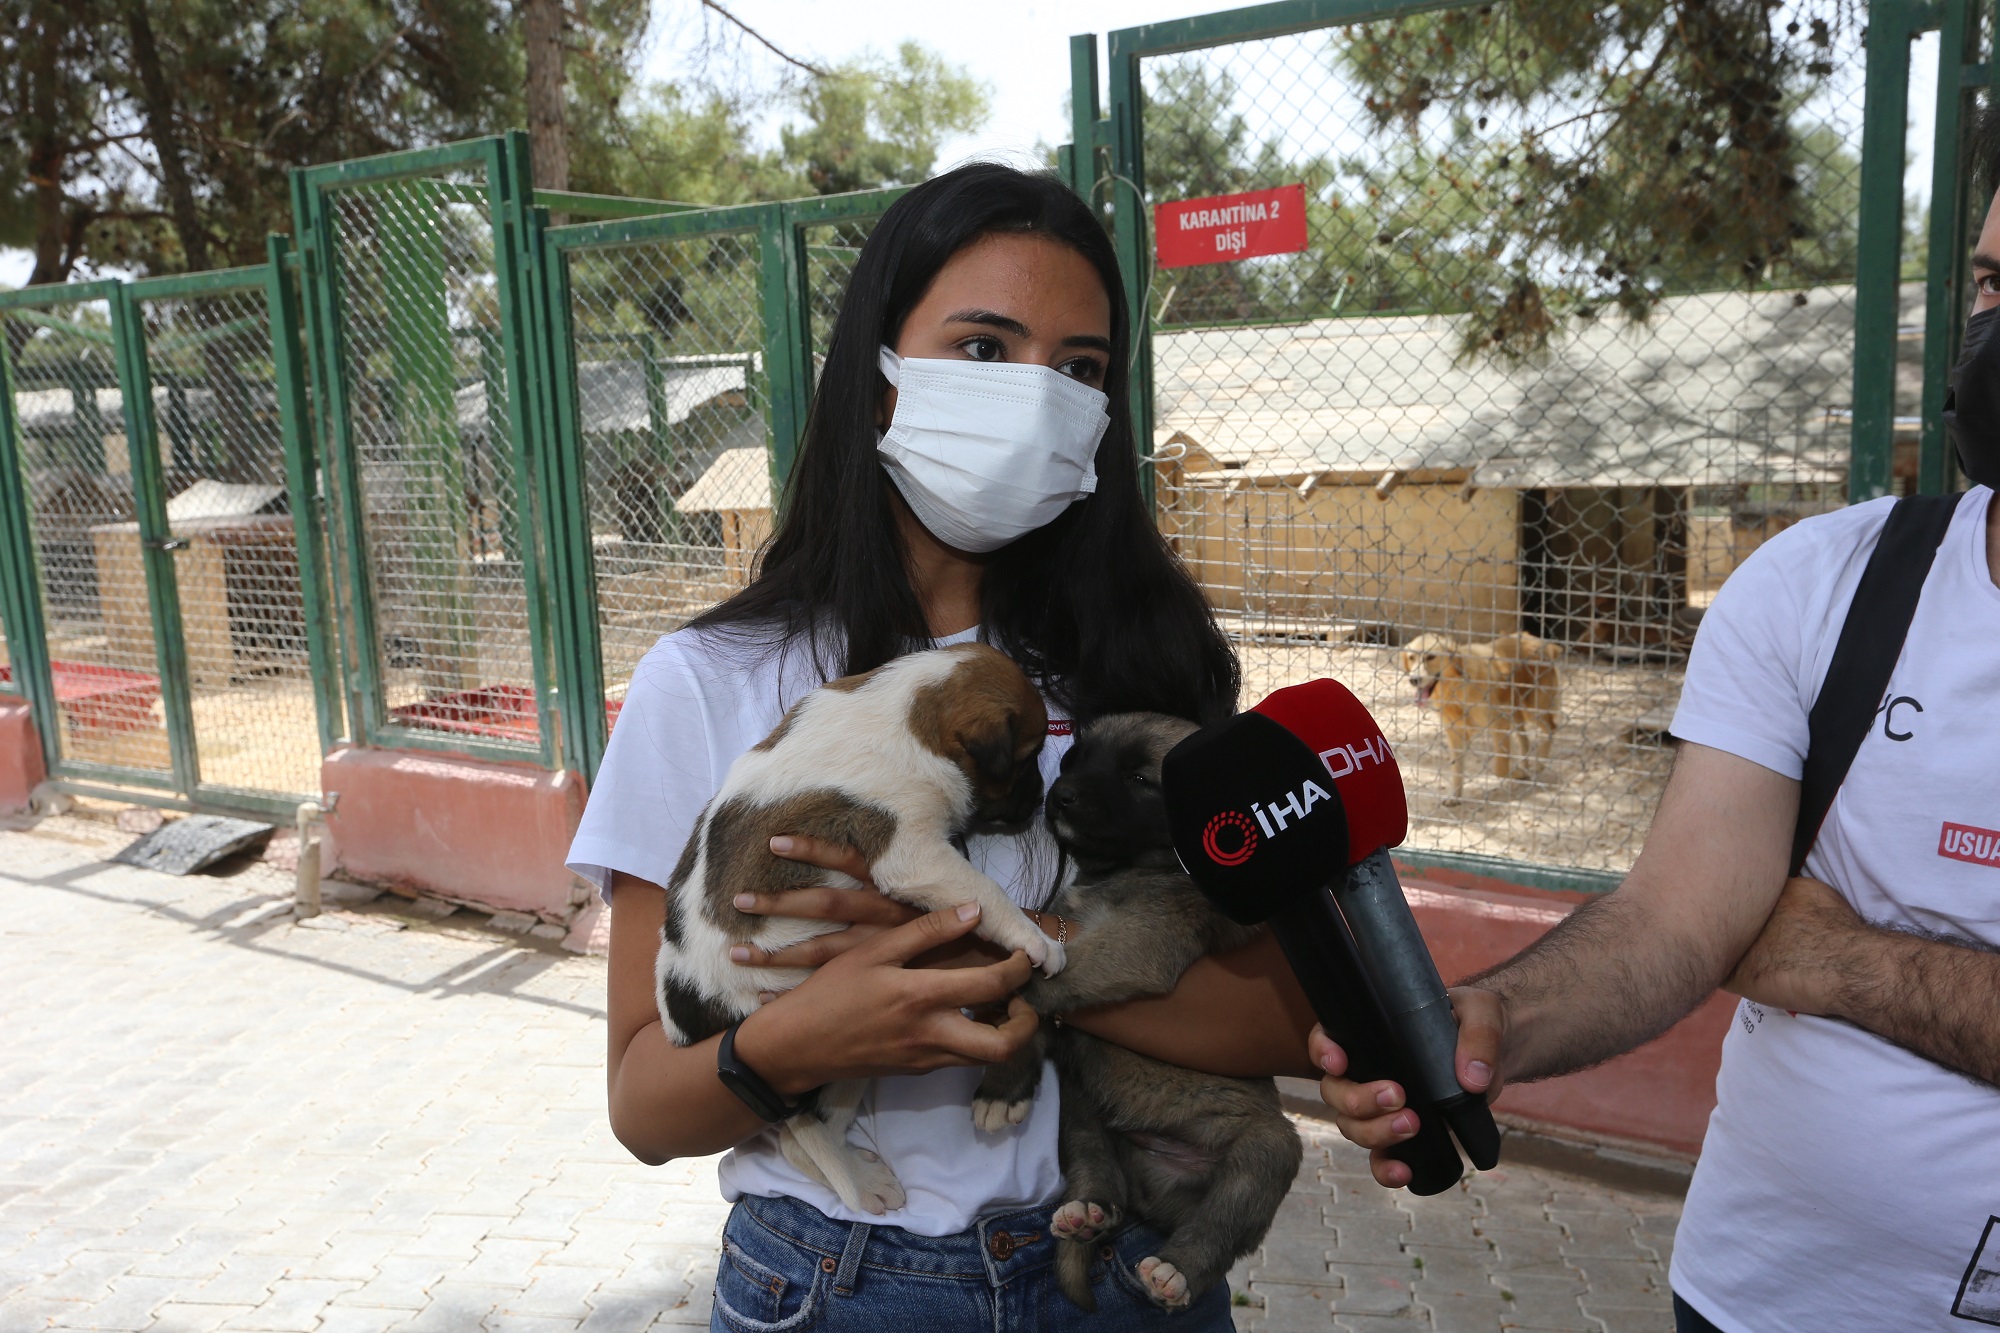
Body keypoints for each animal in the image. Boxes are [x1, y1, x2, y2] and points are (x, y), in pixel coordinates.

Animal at [656, 644, 1064, 1216]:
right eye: (1027, 758)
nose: (1040, 801)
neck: (911, 713)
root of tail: (690, 1012)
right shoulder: (910, 851)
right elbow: (985, 893)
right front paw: (1036, 940)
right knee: (802, 1131)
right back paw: (860, 1179)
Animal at [976, 712, 1304, 1304]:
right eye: (1075, 758)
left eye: (1138, 779)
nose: (1060, 795)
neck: (1124, 869)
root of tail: (1163, 1190)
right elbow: (1036, 1015)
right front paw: (1003, 1087)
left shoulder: (1138, 943)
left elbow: (1045, 983)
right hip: (1083, 1114)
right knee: (1100, 1176)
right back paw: (1089, 1213)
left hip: (1265, 1150)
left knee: (1222, 1226)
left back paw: (1175, 1270)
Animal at [1392, 632, 1560, 800]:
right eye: (1411, 657)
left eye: (1431, 657)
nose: (1413, 680)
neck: (1456, 687)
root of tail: (1538, 640)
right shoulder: (1455, 732)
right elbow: (1457, 769)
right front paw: (1455, 796)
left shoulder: (1499, 723)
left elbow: (1500, 769)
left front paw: (1516, 774)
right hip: (1515, 710)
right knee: (1525, 739)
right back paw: (1525, 765)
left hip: (1533, 710)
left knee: (1551, 728)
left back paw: (1539, 763)